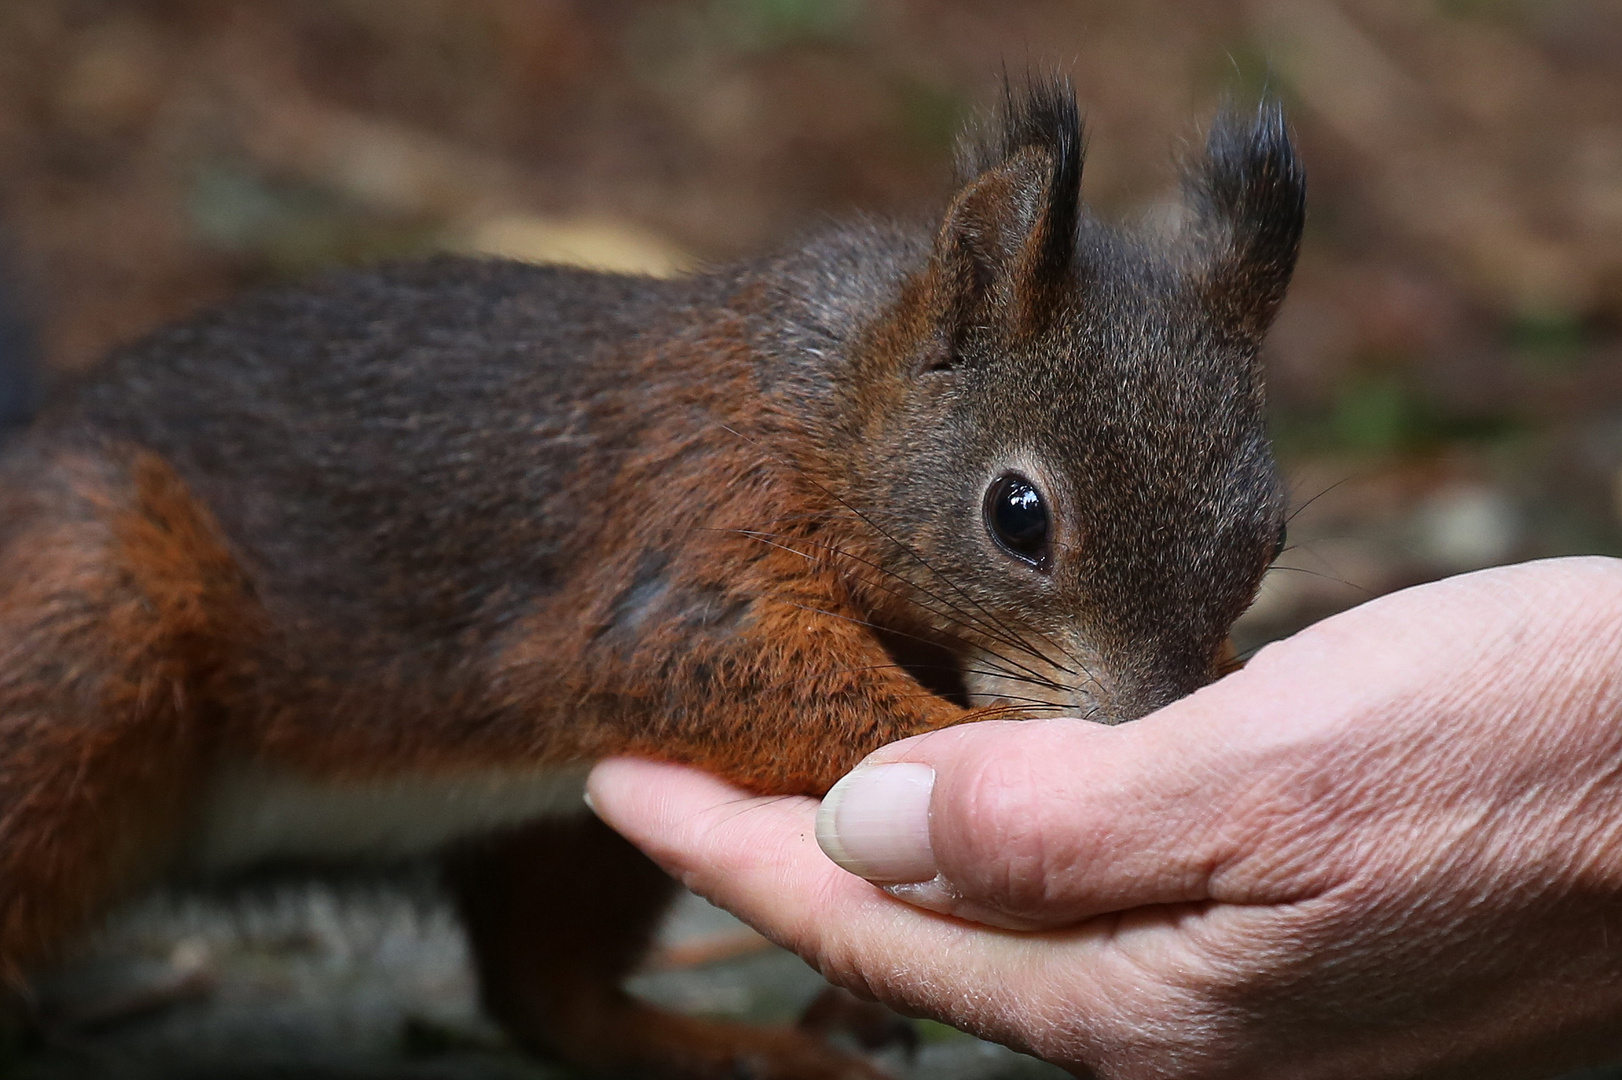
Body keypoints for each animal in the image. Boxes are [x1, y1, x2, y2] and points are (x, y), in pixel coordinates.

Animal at [0, 77, 1304, 1076]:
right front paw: (956, 740)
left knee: (546, 996)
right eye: (1017, 516)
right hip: (83, 628)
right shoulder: (689, 528)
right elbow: (714, 660)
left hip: (565, 837)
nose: (1147, 723)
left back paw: (733, 1046)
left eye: (1270, 536)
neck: (824, 406)